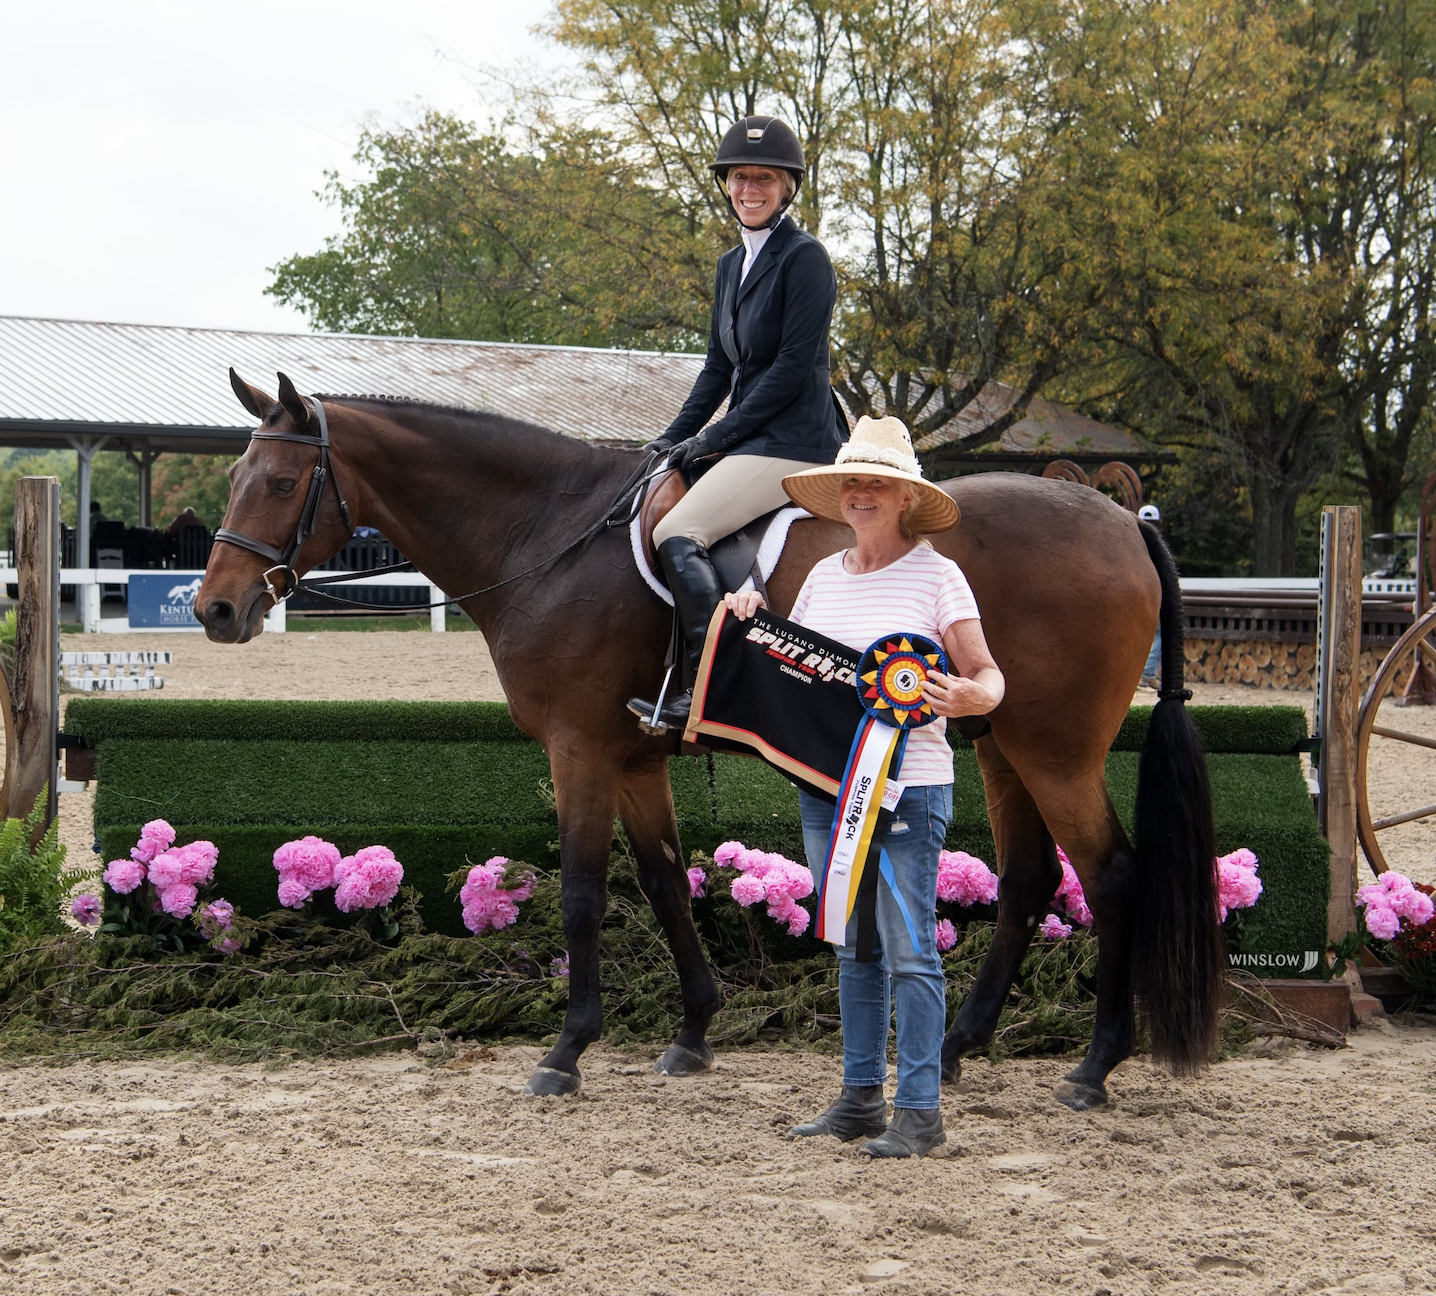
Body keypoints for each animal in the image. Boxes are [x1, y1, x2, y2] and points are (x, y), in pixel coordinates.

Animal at [196, 371, 1222, 1109]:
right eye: (236, 479)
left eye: (281, 482)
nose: (215, 610)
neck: (548, 535)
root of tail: (1121, 517)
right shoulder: (632, 759)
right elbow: (661, 881)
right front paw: (692, 1033)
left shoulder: (578, 750)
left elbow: (581, 893)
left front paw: (566, 1051)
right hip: (1001, 741)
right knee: (1031, 879)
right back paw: (962, 1048)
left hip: (1054, 749)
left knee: (1110, 875)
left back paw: (1093, 1068)